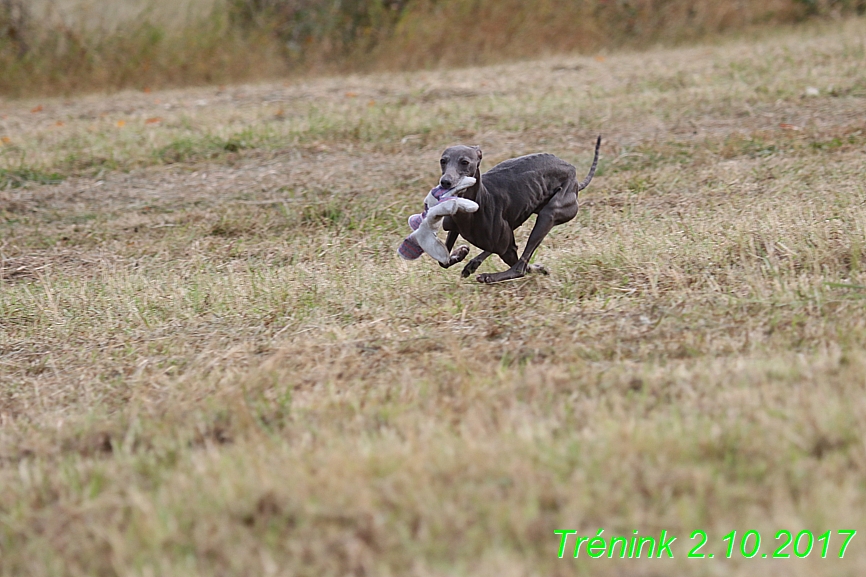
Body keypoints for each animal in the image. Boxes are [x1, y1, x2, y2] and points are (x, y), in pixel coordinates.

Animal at [438, 133, 600, 282]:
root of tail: (574, 177)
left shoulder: (507, 247)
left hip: (548, 215)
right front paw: (460, 254)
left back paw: (488, 276)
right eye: (443, 161)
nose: (445, 182)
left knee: (519, 268)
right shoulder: (455, 228)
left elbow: (520, 264)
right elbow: (443, 261)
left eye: (464, 162)